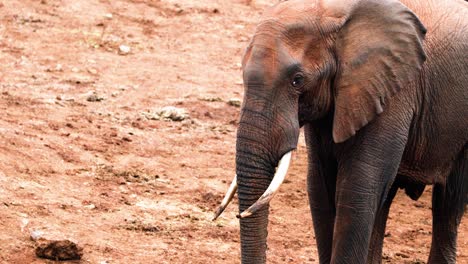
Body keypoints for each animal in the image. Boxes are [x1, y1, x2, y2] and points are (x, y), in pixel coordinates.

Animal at [214, 0, 466, 262]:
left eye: (297, 80)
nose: (239, 214)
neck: (334, 14)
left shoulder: (392, 93)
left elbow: (358, 188)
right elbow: (320, 187)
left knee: (448, 205)